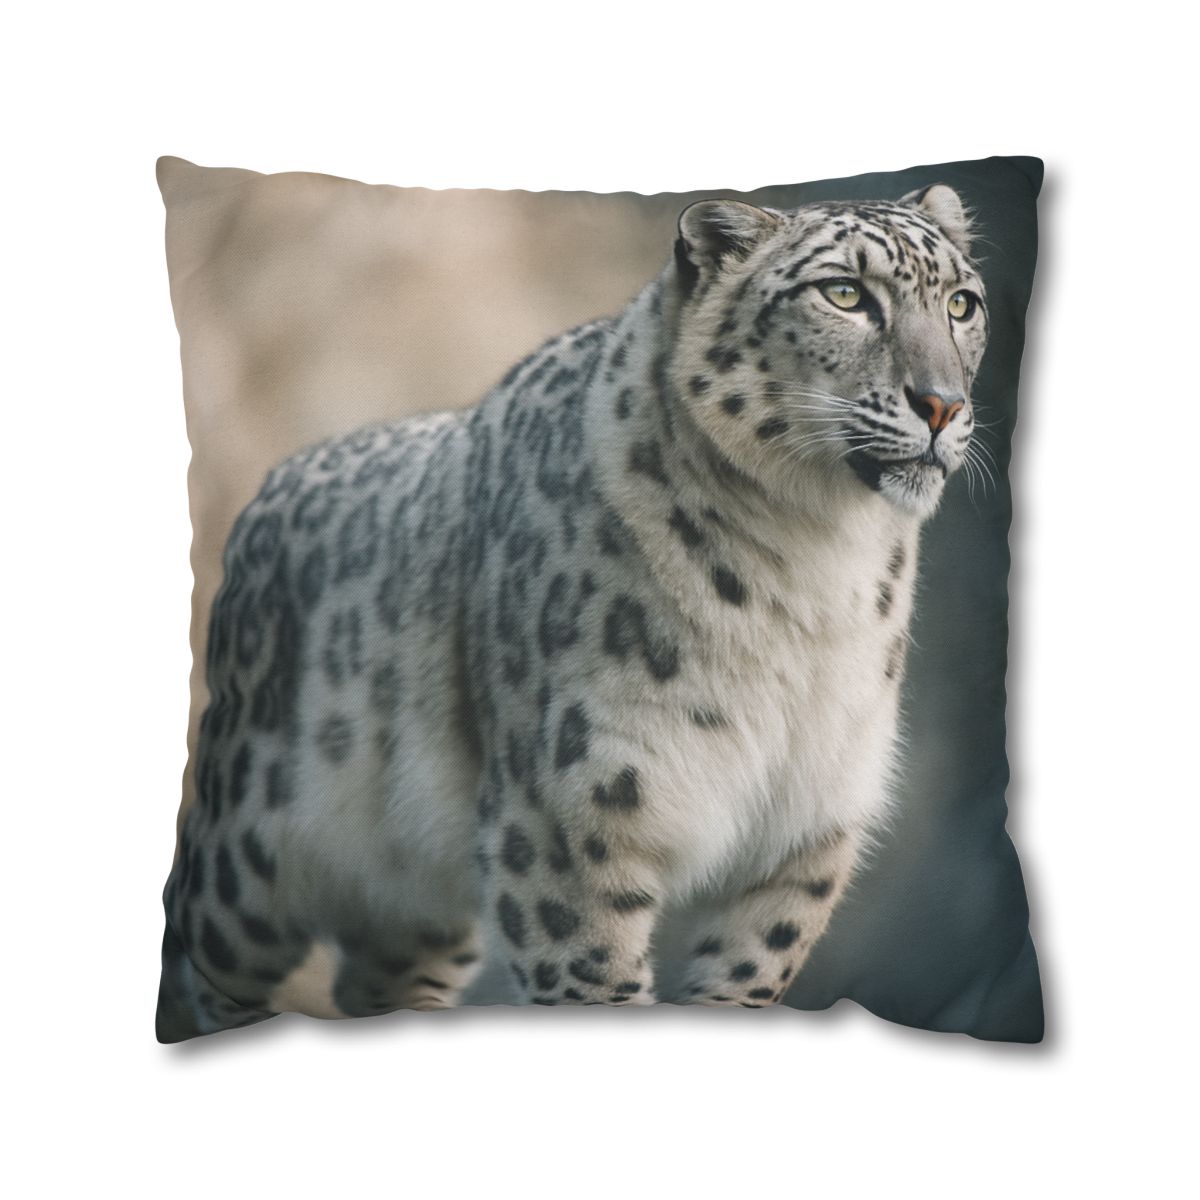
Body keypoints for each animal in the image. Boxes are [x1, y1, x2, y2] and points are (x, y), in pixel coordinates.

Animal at [157, 183, 988, 1040]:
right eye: (845, 294)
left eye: (962, 303)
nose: (941, 404)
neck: (818, 564)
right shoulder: (571, 820)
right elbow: (593, 979)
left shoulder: (803, 830)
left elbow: (744, 979)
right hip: (247, 857)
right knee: (196, 951)